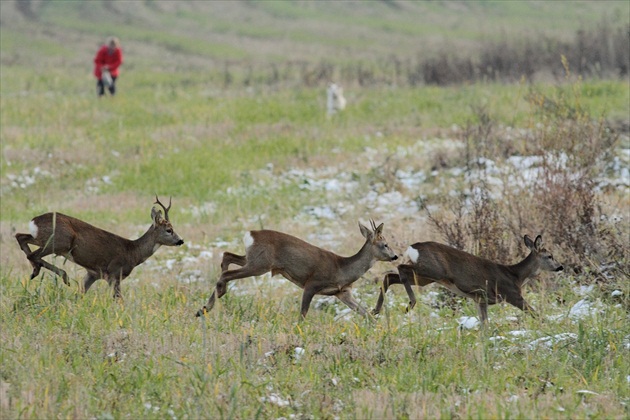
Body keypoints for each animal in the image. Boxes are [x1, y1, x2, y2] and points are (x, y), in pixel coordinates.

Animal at [14, 197, 184, 298]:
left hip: (43, 239)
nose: (180, 240)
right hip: (60, 241)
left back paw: (36, 271)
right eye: (169, 230)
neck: (133, 252)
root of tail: (34, 221)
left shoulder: (93, 273)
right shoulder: (115, 273)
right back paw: (61, 275)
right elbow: (119, 300)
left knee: (20, 236)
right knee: (33, 254)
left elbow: (80, 294)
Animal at [195, 220, 398, 318]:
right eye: (385, 244)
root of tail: (250, 234)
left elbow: (365, 314)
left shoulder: (342, 293)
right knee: (227, 272)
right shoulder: (312, 283)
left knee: (227, 256)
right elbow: (302, 314)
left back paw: (207, 304)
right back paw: (210, 303)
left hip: (252, 259)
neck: (342, 269)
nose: (395, 256)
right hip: (260, 264)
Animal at [372, 236, 564, 322]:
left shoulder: (481, 299)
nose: (560, 267)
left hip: (425, 277)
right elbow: (535, 313)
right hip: (433, 271)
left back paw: (376, 310)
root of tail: (413, 247)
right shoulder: (512, 294)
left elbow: (484, 324)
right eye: (550, 256)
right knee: (400, 268)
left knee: (390, 276)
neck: (516, 276)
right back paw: (410, 303)